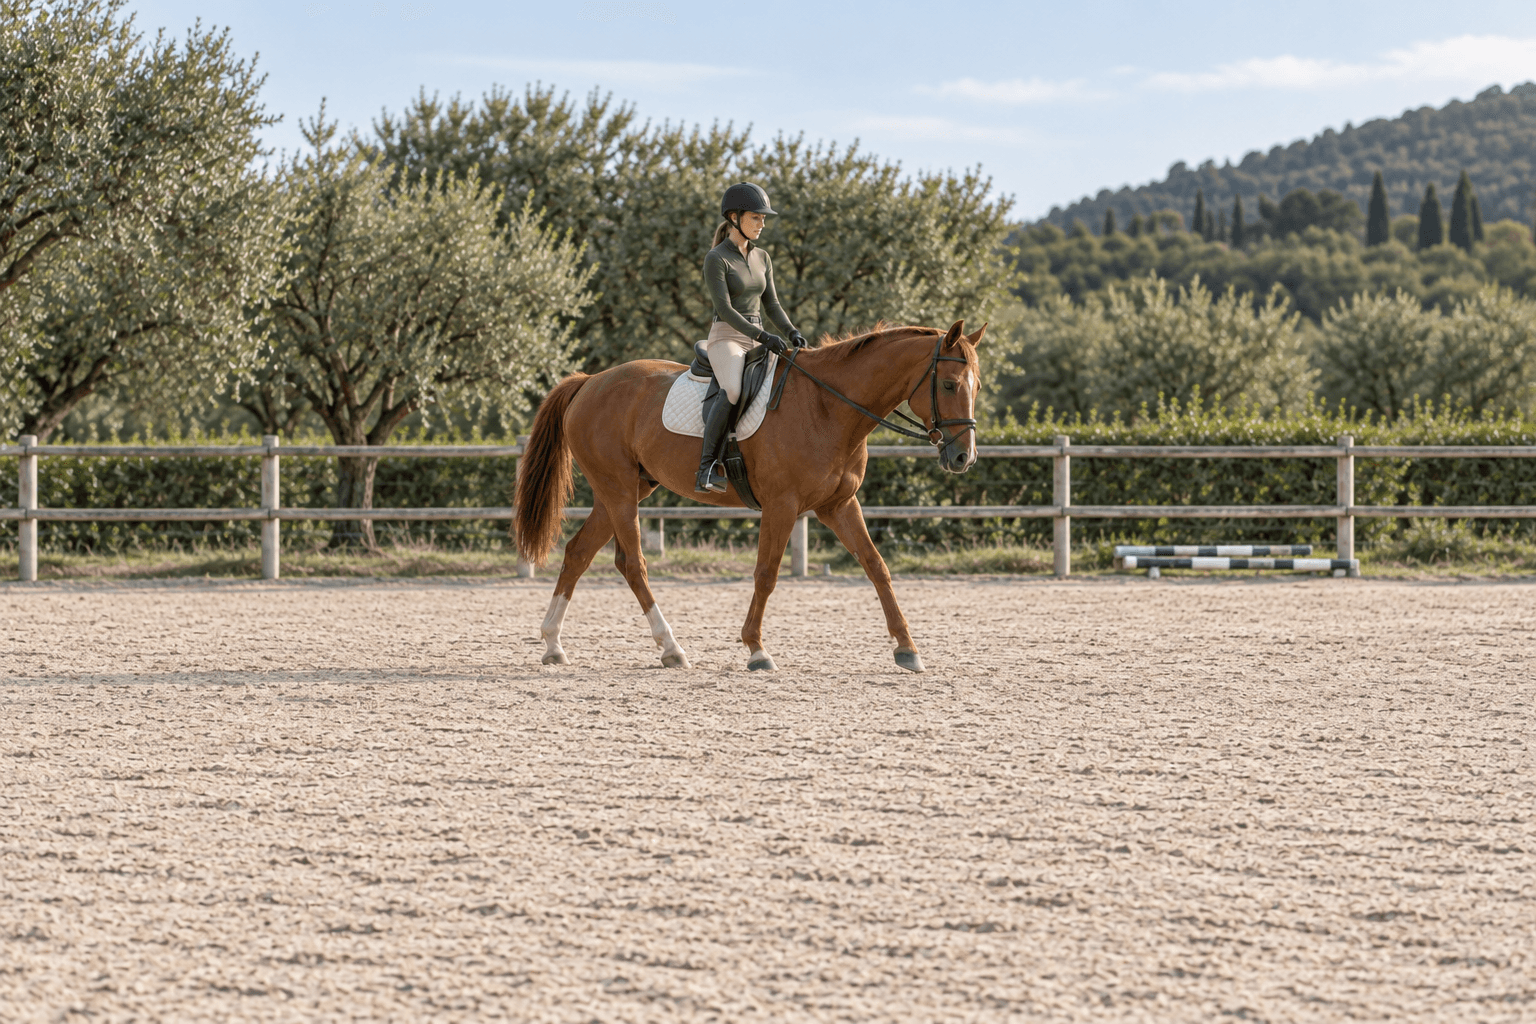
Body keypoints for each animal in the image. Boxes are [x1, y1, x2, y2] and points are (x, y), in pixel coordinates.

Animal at [513, 319, 986, 673]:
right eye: (948, 385)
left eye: (976, 386)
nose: (964, 457)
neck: (827, 407)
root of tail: (590, 381)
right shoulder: (782, 506)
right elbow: (766, 573)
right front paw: (757, 650)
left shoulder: (838, 505)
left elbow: (877, 567)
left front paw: (907, 649)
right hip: (618, 491)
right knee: (633, 564)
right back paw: (671, 648)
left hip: (620, 492)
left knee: (578, 553)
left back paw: (553, 645)